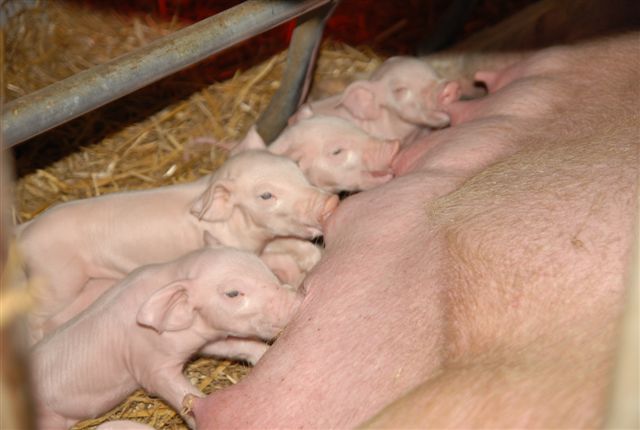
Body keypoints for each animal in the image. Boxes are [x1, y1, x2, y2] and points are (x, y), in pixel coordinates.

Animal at [17, 150, 337, 343]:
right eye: (266, 195)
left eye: (299, 174)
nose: (331, 202)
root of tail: (24, 234)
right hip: (57, 281)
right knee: (33, 317)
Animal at [31, 246, 303, 430]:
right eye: (233, 293)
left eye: (267, 271)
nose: (297, 300)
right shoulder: (151, 367)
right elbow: (180, 393)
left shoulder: (206, 338)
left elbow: (236, 345)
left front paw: (265, 354)